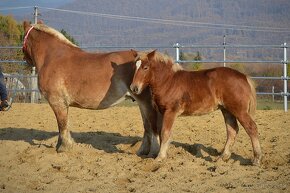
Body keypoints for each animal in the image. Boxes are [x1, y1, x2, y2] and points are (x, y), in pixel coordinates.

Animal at [22, 21, 161, 157]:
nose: (26, 61)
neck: (52, 57)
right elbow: (64, 124)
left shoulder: (57, 102)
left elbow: (62, 125)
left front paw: (63, 147)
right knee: (147, 126)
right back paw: (143, 151)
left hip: (145, 102)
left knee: (152, 125)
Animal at [131, 50, 262, 166]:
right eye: (135, 66)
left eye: (145, 67)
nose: (134, 88)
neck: (168, 81)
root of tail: (244, 77)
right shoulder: (161, 112)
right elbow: (159, 131)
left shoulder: (170, 112)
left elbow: (165, 133)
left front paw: (160, 157)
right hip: (227, 110)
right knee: (232, 130)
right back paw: (223, 157)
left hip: (239, 111)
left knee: (251, 128)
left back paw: (256, 159)